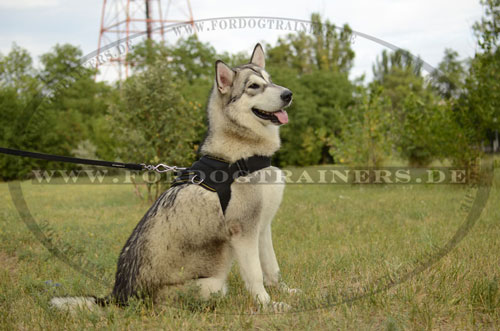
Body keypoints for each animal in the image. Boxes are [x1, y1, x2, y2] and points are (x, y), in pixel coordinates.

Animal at [52, 43, 296, 312]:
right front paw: (268, 305)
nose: (288, 94)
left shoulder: (262, 227)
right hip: (212, 284)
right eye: (253, 86)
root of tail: (119, 296)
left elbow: (272, 268)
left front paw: (285, 292)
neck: (244, 154)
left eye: (269, 80)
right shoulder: (243, 231)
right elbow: (255, 275)